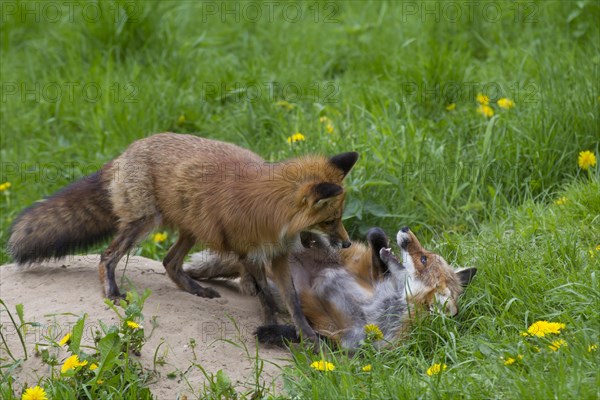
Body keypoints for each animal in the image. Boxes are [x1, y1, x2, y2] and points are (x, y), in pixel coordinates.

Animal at [7, 134, 358, 340]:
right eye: (331, 220)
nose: (347, 244)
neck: (271, 212)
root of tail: (126, 151)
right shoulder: (248, 253)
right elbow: (265, 296)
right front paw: (272, 323)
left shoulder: (278, 255)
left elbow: (293, 301)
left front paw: (306, 335)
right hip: (144, 223)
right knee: (107, 255)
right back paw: (112, 291)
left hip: (191, 229)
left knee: (169, 262)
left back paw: (195, 288)